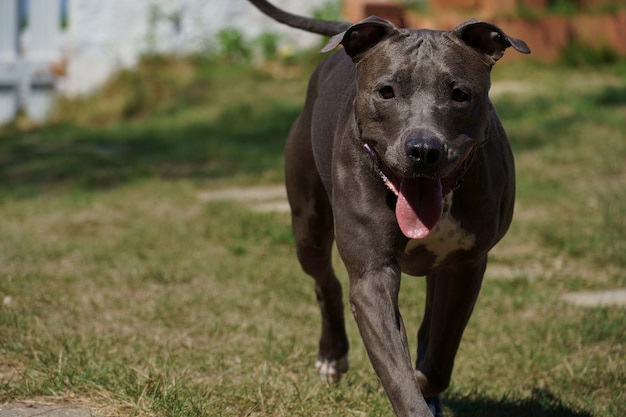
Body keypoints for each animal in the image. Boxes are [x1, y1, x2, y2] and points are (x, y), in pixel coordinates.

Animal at [249, 1, 528, 414]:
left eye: (460, 94)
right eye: (386, 91)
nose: (424, 150)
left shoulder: (465, 265)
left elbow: (438, 354)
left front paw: (425, 384)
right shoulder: (372, 275)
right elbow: (396, 368)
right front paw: (412, 394)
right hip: (308, 225)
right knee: (325, 281)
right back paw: (332, 356)